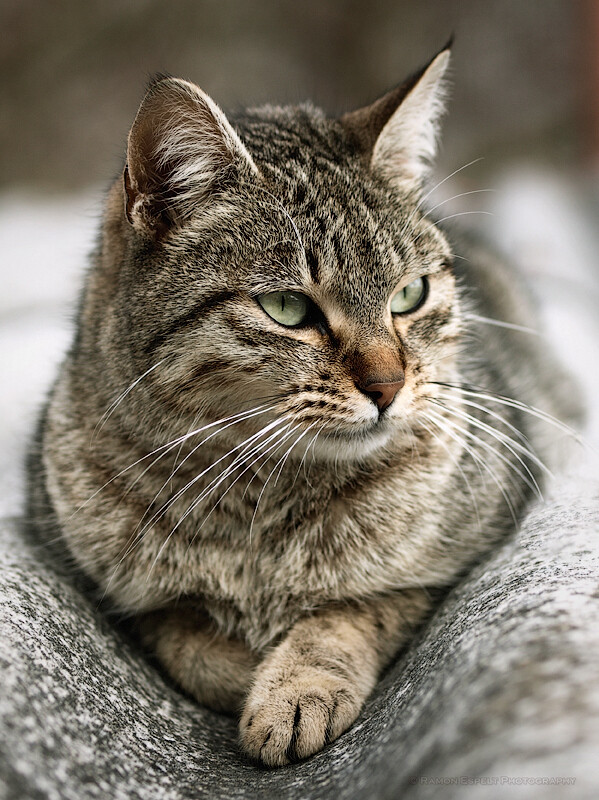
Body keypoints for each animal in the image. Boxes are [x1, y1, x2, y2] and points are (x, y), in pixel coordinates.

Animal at [28, 45, 576, 768]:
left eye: (410, 294)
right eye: (288, 308)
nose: (387, 385)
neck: (257, 504)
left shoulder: (456, 555)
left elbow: (346, 615)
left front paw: (292, 690)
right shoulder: (113, 588)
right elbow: (187, 640)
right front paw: (249, 673)